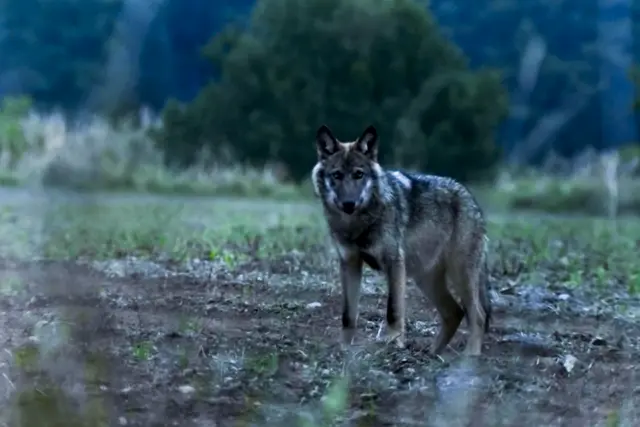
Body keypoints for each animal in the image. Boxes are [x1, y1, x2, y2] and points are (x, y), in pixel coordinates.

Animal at [311, 124, 492, 355]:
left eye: (359, 174)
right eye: (337, 175)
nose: (349, 204)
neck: (357, 224)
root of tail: (471, 198)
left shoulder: (394, 264)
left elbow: (393, 310)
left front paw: (393, 343)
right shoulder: (349, 264)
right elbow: (348, 315)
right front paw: (344, 348)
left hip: (460, 275)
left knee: (477, 315)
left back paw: (469, 356)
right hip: (425, 279)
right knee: (455, 313)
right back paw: (432, 353)